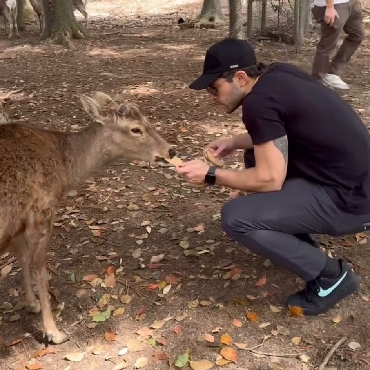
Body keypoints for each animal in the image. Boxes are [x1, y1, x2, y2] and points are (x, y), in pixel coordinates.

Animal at [0, 90, 176, 344]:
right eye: (136, 129)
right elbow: (40, 269)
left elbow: (22, 258)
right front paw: (53, 331)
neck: (65, 170)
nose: (171, 150)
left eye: (148, 120)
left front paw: (31, 304)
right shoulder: (42, 212)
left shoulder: (18, 223)